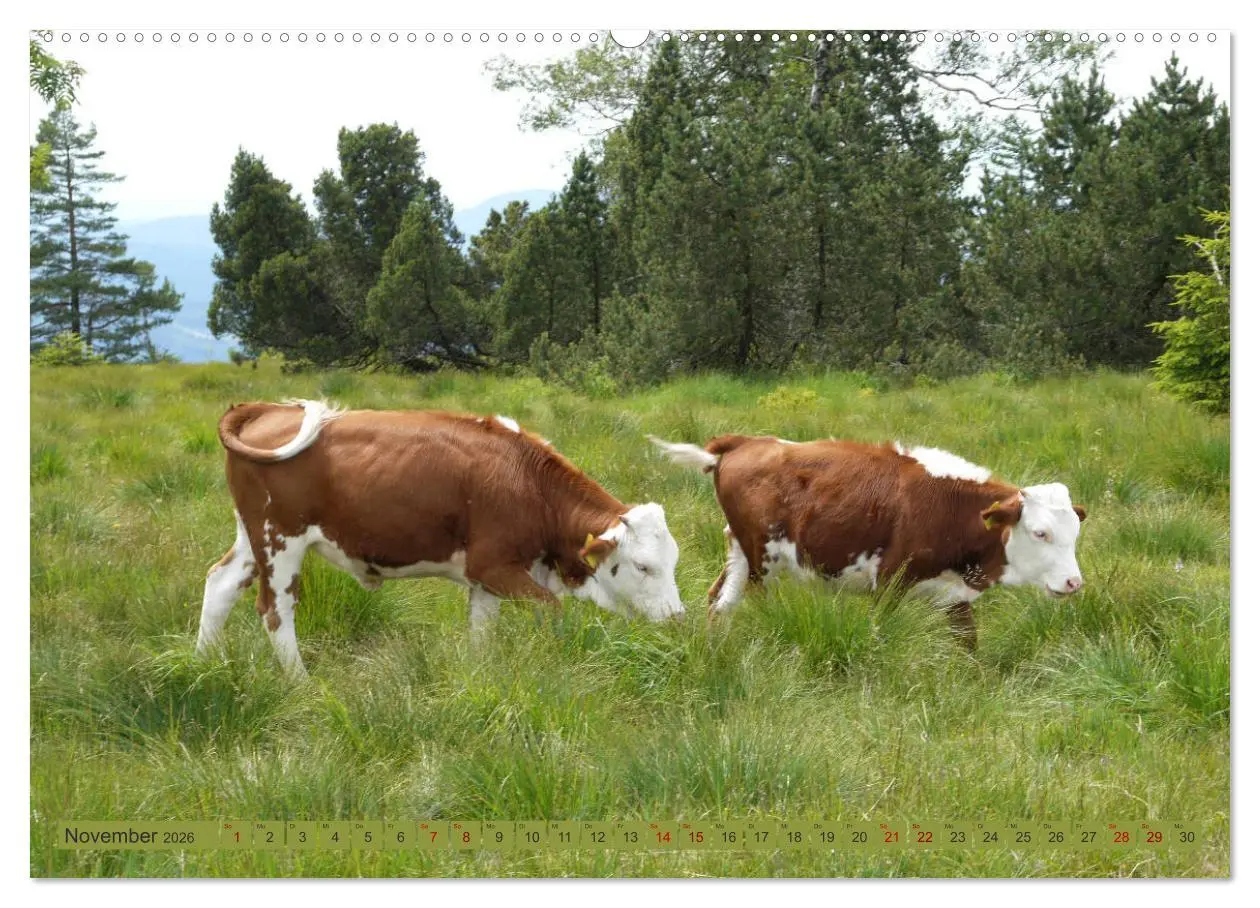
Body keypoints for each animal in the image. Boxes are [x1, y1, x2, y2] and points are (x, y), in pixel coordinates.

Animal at [196, 400, 685, 677]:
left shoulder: (489, 580)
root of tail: (270, 410)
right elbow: (552, 610)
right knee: (275, 610)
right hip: (280, 540)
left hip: (252, 539)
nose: (678, 618)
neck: (527, 482)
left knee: (220, 584)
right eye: (643, 566)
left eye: (673, 562)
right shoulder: (495, 566)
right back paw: (300, 682)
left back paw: (203, 663)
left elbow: (482, 634)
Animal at [649, 433, 1086, 650]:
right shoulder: (889, 584)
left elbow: (968, 643)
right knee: (755, 605)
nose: (1073, 582)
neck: (949, 506)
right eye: (1040, 532)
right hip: (762, 560)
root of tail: (745, 442)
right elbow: (882, 636)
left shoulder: (953, 594)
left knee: (719, 602)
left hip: (740, 553)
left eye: (1074, 535)